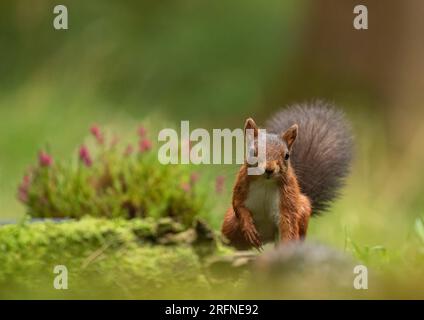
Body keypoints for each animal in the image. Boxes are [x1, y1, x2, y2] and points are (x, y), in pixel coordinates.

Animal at [220, 102, 352, 250]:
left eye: (287, 155)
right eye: (252, 152)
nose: (269, 169)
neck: (265, 183)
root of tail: (267, 238)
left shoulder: (288, 200)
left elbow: (288, 225)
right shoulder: (242, 185)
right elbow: (238, 205)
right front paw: (248, 228)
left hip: (302, 211)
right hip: (230, 224)